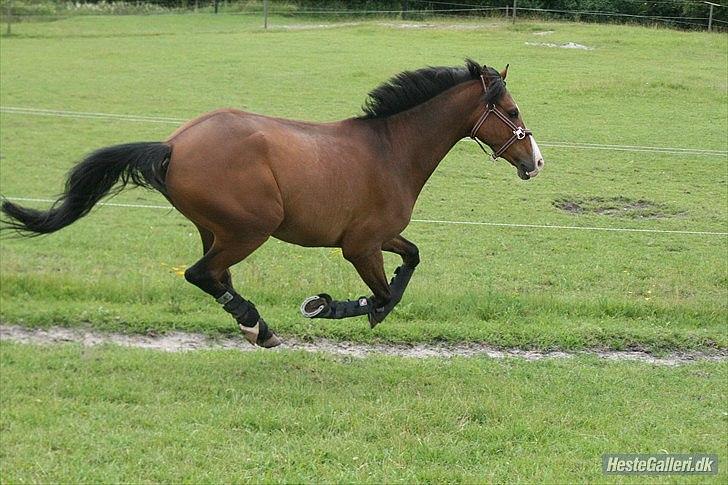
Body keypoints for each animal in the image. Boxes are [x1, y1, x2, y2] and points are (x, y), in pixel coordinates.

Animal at [1, 59, 545, 348]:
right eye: (514, 110)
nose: (535, 161)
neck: (390, 148)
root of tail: (173, 145)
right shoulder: (360, 246)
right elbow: (383, 295)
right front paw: (328, 306)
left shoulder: (380, 238)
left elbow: (411, 259)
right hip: (250, 228)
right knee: (202, 273)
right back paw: (256, 326)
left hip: (216, 230)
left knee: (214, 275)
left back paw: (254, 324)